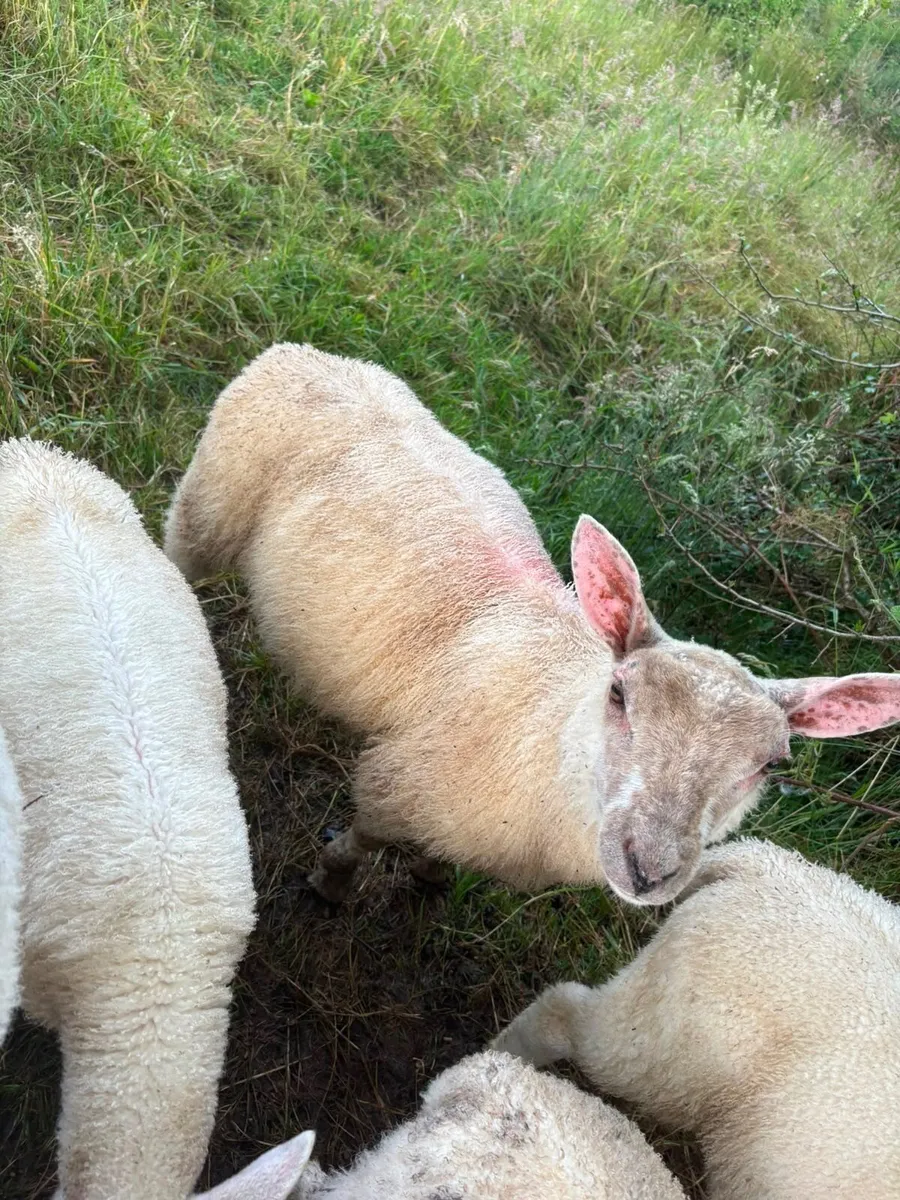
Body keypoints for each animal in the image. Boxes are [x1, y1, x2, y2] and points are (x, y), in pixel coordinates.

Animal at [163, 343, 900, 906]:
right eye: (619, 694)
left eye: (773, 764)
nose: (648, 868)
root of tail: (310, 354)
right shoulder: (396, 783)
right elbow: (365, 838)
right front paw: (333, 885)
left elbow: (438, 861)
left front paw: (429, 879)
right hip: (205, 511)